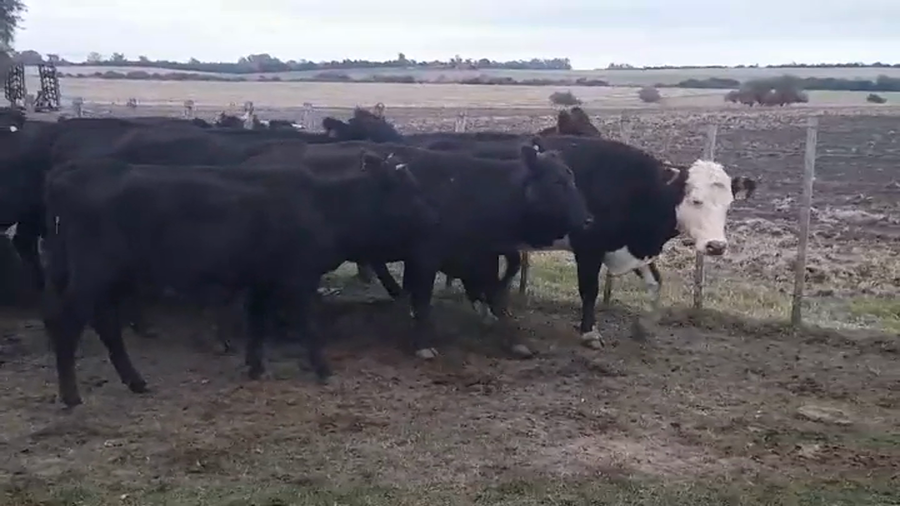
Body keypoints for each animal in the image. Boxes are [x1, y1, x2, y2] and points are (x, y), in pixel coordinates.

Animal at [41, 149, 439, 407]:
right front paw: (323, 370)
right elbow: (307, 326)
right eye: (408, 190)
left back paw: (135, 382)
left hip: (108, 278)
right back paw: (71, 396)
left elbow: (257, 323)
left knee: (105, 324)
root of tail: (72, 171)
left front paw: (255, 367)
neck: (323, 204)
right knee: (67, 322)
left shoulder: (263, 279)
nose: (432, 216)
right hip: (93, 275)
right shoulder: (297, 278)